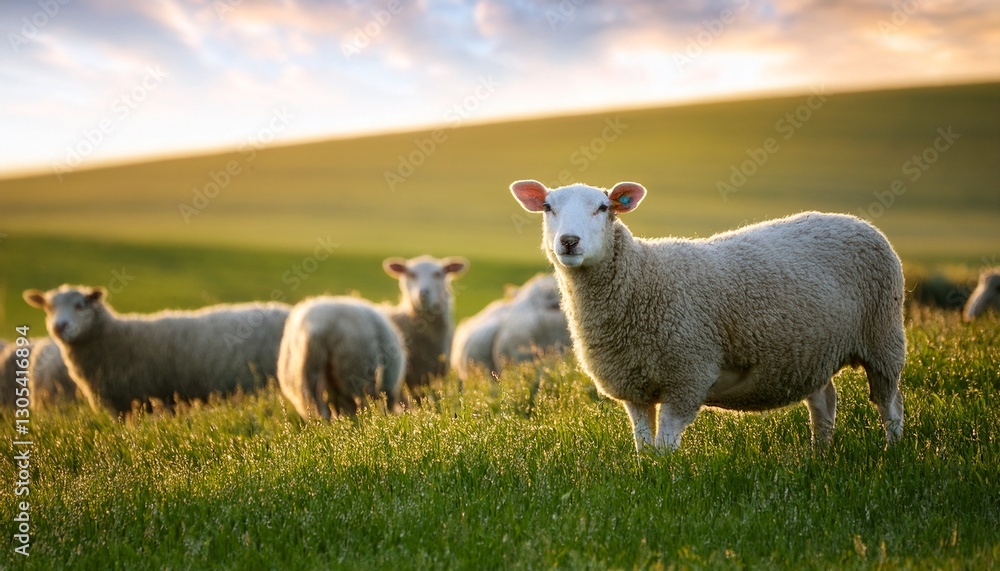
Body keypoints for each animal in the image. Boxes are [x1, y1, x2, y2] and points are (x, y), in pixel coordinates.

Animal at [511, 180, 906, 453]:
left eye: (603, 207)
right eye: (548, 207)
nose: (569, 241)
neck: (641, 279)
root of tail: (857, 222)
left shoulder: (687, 375)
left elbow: (665, 446)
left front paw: (665, 481)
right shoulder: (635, 387)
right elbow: (644, 446)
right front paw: (646, 476)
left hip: (883, 336)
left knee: (890, 404)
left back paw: (892, 453)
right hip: (813, 350)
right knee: (824, 405)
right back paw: (819, 456)